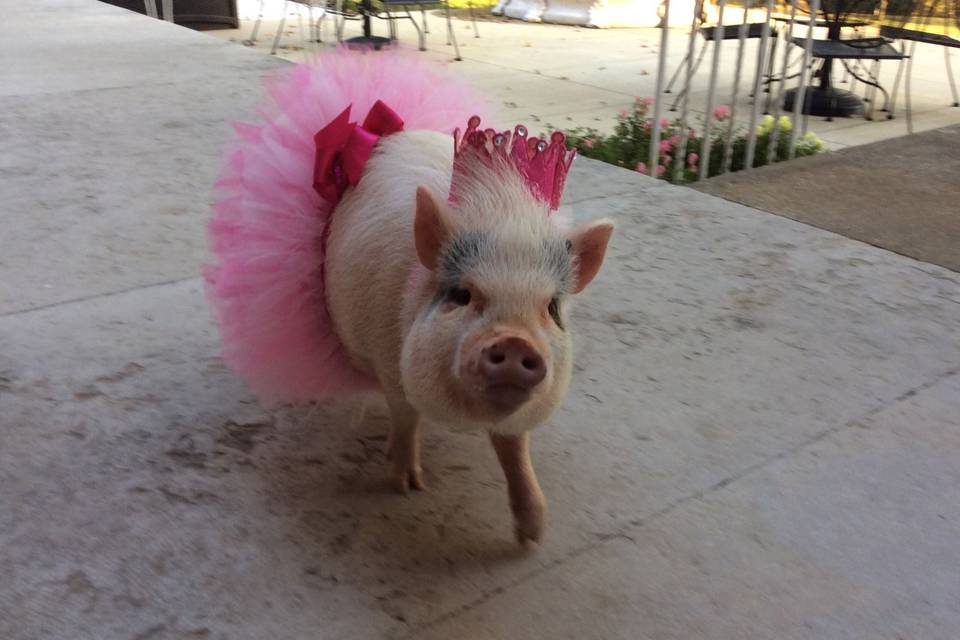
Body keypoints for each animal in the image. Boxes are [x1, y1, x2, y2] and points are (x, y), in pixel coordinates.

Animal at [324, 126, 616, 544]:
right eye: (463, 295)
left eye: (551, 308)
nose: (515, 341)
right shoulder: (390, 362)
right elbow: (405, 418)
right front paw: (407, 486)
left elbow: (514, 448)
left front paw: (533, 535)